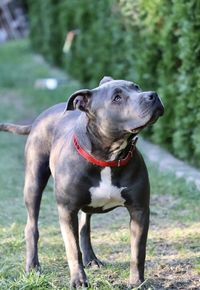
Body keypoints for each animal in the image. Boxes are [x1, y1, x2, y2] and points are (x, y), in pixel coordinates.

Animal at [0, 76, 164, 288]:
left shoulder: (139, 209)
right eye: (117, 98)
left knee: (85, 226)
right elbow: (72, 249)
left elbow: (138, 251)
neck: (108, 158)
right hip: (33, 183)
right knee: (32, 226)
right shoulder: (67, 210)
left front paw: (137, 282)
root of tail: (39, 118)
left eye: (136, 87)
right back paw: (33, 266)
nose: (153, 95)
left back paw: (91, 258)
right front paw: (78, 280)